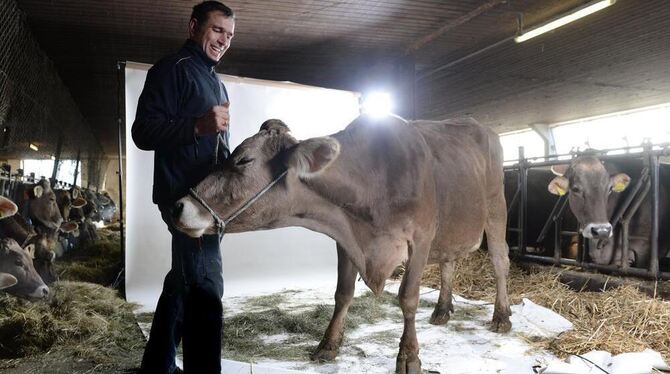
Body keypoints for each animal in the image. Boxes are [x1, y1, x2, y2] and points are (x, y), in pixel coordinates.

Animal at [171, 115, 512, 372]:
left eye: (243, 160)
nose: (179, 206)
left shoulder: (421, 237)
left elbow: (408, 298)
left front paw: (409, 356)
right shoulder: (345, 238)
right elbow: (343, 293)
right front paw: (328, 345)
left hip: (496, 209)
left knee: (499, 261)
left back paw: (501, 316)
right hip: (451, 224)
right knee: (448, 260)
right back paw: (442, 309)